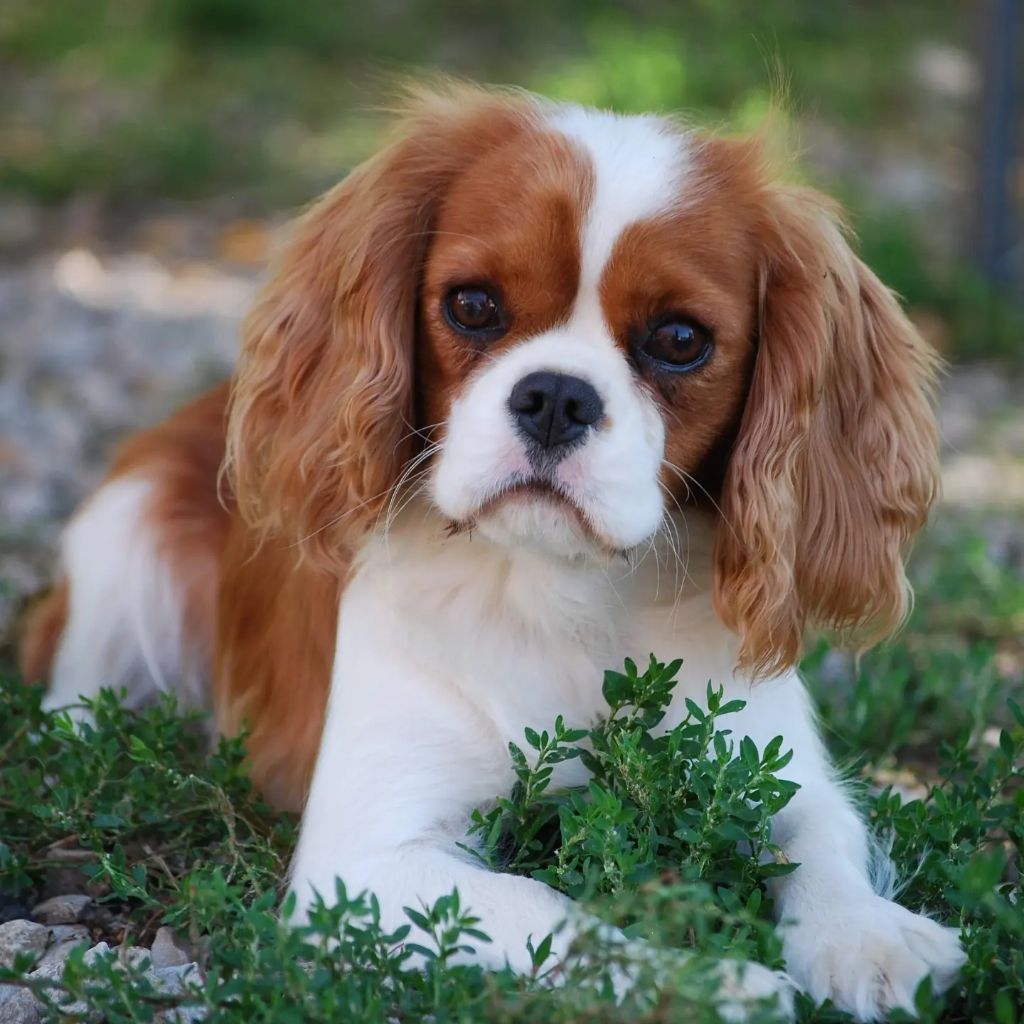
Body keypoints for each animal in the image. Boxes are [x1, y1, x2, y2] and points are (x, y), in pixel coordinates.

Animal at [24, 83, 966, 1019]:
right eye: (472, 305)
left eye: (680, 339)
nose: (555, 397)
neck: (563, 591)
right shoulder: (365, 865)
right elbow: (551, 908)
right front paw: (706, 981)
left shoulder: (772, 764)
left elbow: (822, 834)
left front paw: (868, 935)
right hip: (123, 545)